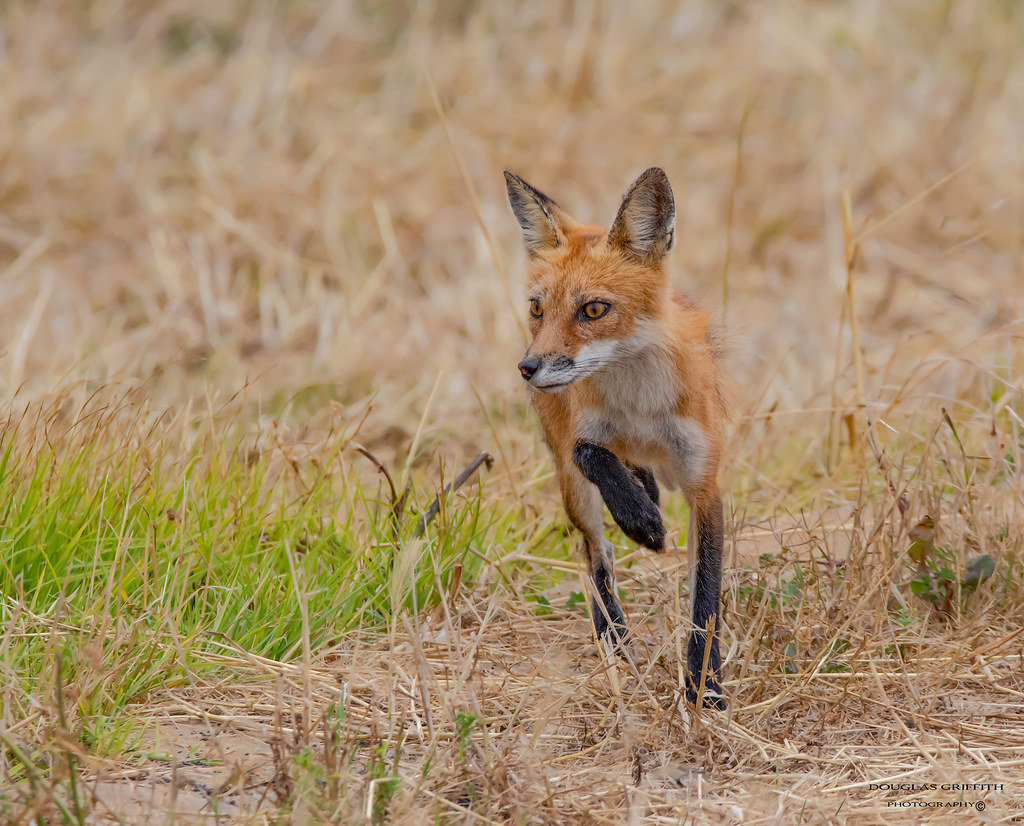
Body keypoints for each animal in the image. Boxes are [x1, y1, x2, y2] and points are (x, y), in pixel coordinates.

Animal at [504, 167, 728, 709]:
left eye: (593, 309)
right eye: (537, 308)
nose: (527, 368)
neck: (641, 410)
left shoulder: (704, 482)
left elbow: (705, 597)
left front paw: (704, 688)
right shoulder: (583, 440)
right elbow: (592, 454)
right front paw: (641, 523)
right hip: (572, 492)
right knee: (598, 559)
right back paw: (615, 640)